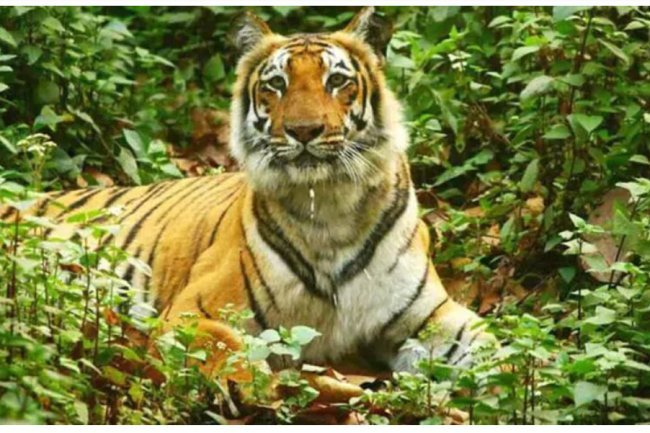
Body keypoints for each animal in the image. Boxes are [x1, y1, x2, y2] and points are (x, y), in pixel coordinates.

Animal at [1, 7, 495, 379]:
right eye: (276, 84)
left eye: (337, 81)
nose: (304, 131)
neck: (329, 206)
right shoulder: (194, 311)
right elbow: (228, 350)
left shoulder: (431, 316)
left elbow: (497, 348)